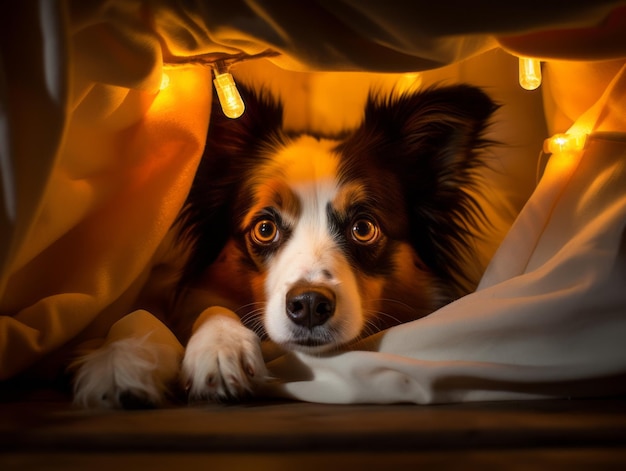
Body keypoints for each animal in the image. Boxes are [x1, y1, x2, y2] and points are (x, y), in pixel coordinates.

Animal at [70, 83, 494, 408]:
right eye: (264, 228)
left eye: (363, 228)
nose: (309, 305)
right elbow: (148, 313)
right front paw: (125, 362)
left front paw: (216, 350)